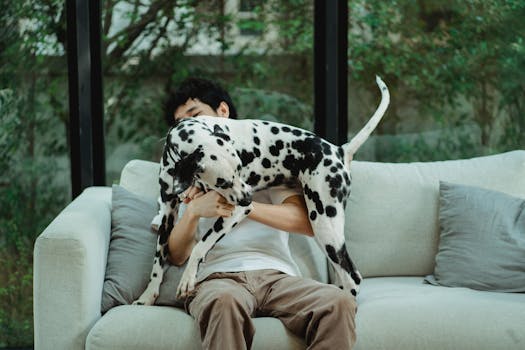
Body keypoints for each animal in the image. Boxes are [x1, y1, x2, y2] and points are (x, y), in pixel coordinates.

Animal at [134, 76, 388, 306]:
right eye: (223, 182)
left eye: (240, 167)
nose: (248, 199)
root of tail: (338, 150)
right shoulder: (168, 213)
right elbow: (158, 260)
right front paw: (148, 294)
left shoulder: (234, 212)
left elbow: (199, 247)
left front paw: (187, 277)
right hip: (323, 231)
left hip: (326, 227)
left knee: (353, 277)